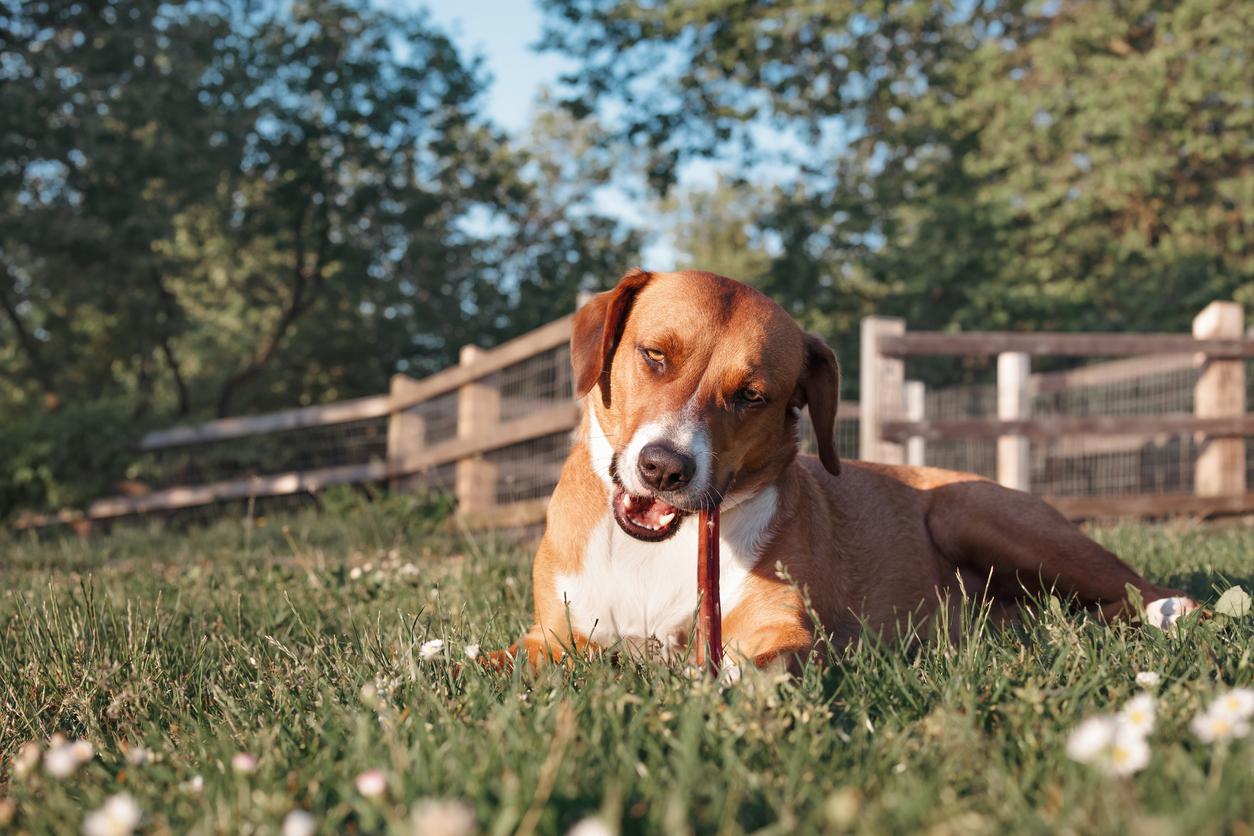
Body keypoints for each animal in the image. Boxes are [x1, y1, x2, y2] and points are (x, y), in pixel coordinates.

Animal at [489, 271, 1193, 676]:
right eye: (655, 355)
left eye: (752, 395)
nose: (664, 468)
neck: (655, 550)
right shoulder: (551, 636)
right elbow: (489, 662)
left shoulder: (780, 627)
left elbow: (761, 663)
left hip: (973, 512)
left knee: (1144, 591)